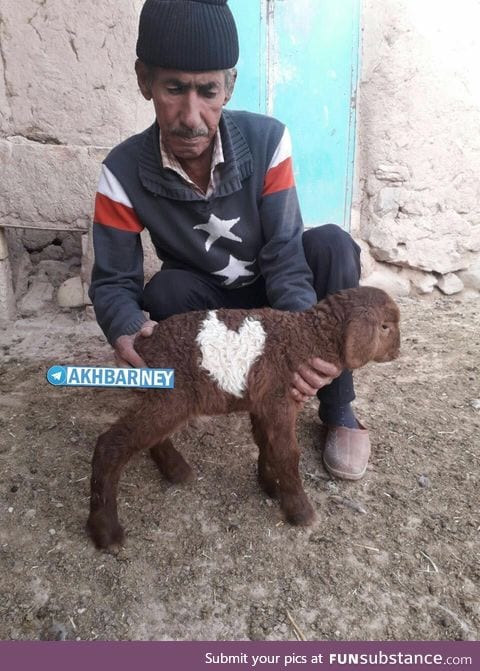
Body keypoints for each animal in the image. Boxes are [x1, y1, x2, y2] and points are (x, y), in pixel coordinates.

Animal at [87, 284, 402, 552]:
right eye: (385, 327)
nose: (398, 351)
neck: (309, 337)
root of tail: (144, 347)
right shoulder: (279, 402)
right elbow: (287, 453)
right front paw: (300, 511)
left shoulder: (263, 403)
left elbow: (266, 444)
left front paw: (270, 486)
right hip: (171, 399)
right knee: (111, 445)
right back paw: (106, 532)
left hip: (165, 400)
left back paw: (177, 471)